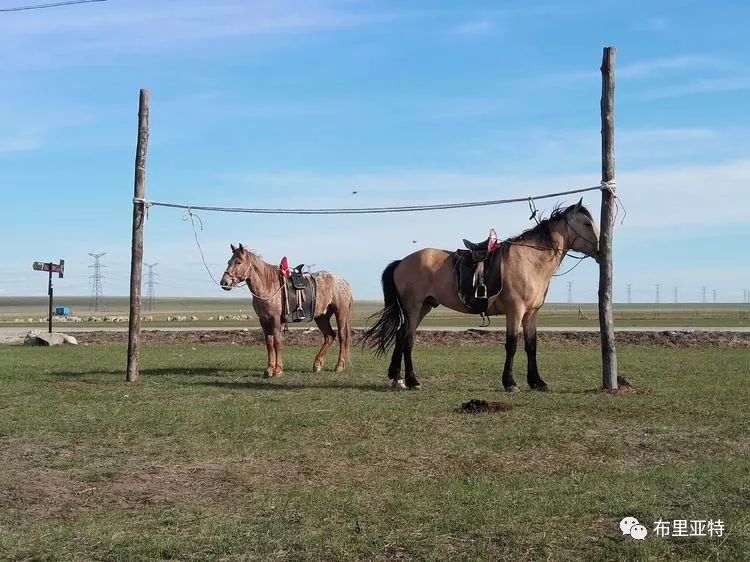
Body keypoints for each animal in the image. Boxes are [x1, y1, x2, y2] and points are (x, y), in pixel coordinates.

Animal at [220, 243, 356, 374]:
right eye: (228, 262)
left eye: (238, 262)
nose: (224, 283)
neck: (268, 285)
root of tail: (344, 282)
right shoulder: (263, 320)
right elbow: (269, 343)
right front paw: (269, 370)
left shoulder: (275, 319)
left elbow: (277, 341)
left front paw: (278, 370)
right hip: (322, 317)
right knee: (329, 336)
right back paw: (317, 364)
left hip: (340, 312)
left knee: (342, 336)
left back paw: (339, 366)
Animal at [362, 200, 604, 390]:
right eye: (587, 223)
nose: (601, 251)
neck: (529, 260)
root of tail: (401, 262)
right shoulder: (515, 311)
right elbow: (512, 345)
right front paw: (510, 383)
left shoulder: (531, 313)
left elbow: (531, 346)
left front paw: (537, 382)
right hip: (413, 307)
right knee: (409, 339)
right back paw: (413, 381)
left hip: (424, 307)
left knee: (402, 335)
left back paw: (397, 379)